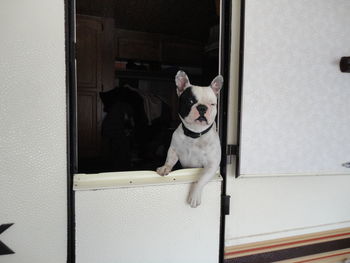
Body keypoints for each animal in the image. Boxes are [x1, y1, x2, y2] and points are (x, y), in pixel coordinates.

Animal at [157, 70, 223, 208]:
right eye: (191, 101)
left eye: (212, 104)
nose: (202, 107)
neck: (195, 134)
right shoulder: (174, 150)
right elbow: (169, 160)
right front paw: (165, 167)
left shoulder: (212, 165)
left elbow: (201, 179)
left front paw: (194, 196)